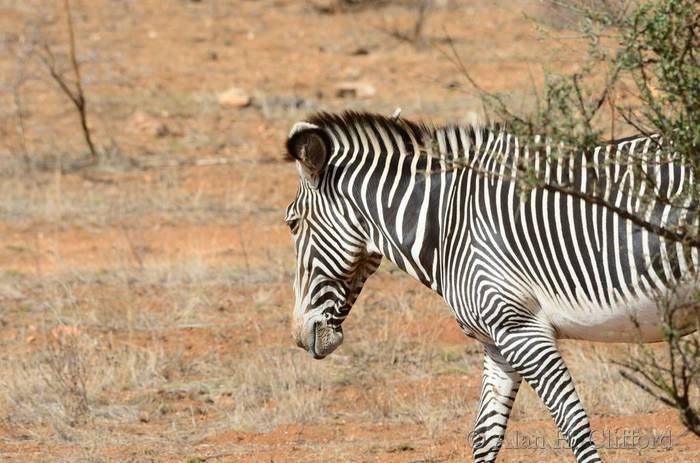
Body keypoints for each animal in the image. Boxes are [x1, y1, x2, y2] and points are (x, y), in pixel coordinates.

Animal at [283, 110, 698, 463]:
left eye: (291, 223)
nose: (299, 336)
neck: (446, 224)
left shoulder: (521, 329)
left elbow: (573, 423)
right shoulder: (497, 342)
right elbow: (485, 435)